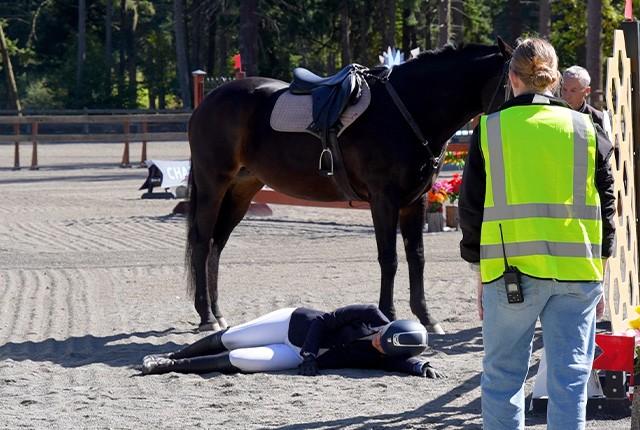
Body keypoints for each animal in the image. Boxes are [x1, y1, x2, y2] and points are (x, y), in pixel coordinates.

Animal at [186, 39, 513, 333]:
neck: (409, 109)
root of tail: (208, 102)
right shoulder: (384, 200)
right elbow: (389, 259)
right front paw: (387, 315)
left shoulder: (415, 201)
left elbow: (416, 257)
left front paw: (426, 317)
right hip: (213, 185)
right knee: (202, 243)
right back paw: (207, 317)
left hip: (242, 191)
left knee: (216, 244)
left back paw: (218, 313)